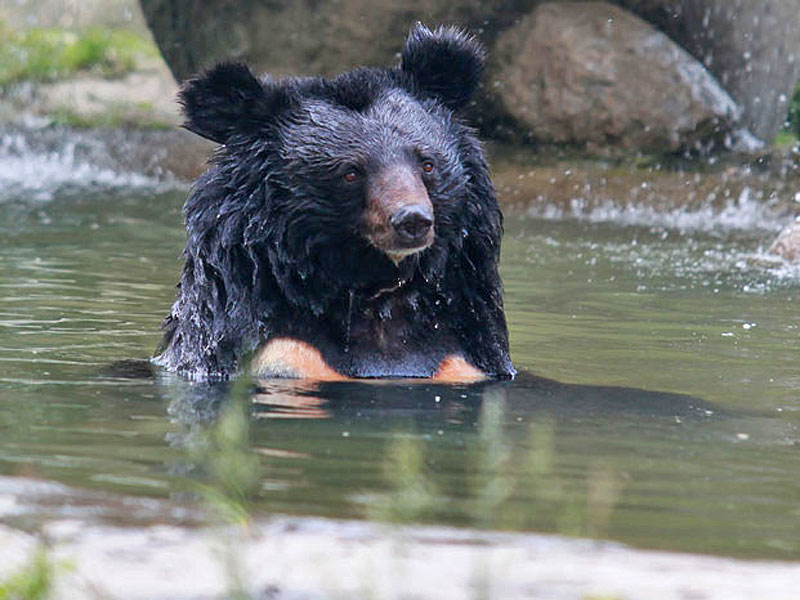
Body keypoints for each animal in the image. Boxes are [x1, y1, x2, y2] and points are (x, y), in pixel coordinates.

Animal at [155, 24, 516, 380]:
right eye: (351, 173)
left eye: (427, 164)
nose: (412, 220)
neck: (371, 287)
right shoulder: (280, 349)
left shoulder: (462, 354)